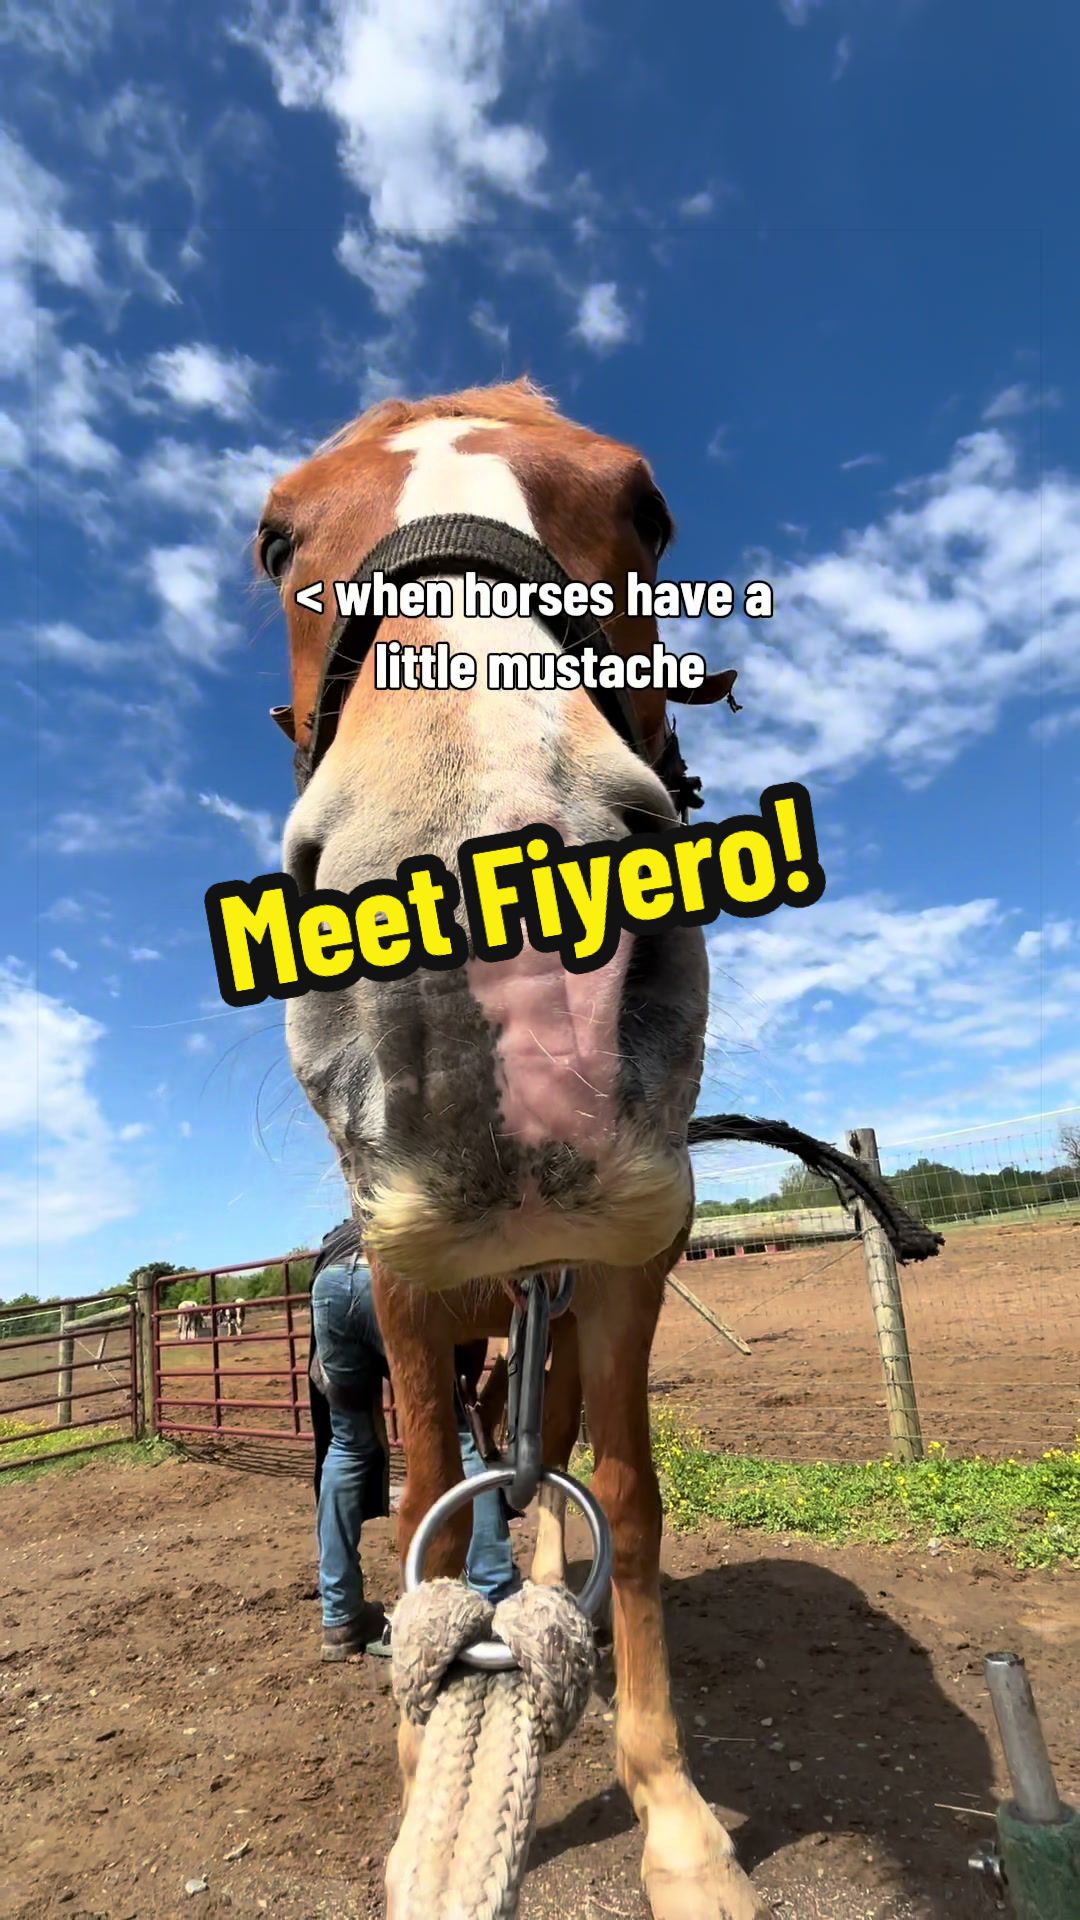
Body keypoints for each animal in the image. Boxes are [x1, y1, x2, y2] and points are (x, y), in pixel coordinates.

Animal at [256, 378, 762, 1920]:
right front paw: (426, 1768)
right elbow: (422, 1495)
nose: (507, 979)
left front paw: (675, 1820)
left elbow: (629, 1503)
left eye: (650, 512)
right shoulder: (412, 1297)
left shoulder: (621, 1276)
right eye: (273, 542)